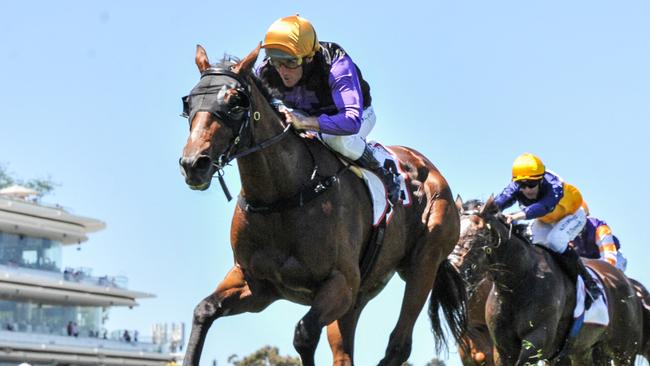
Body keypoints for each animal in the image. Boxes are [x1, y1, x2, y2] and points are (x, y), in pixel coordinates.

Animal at [176, 45, 466, 366]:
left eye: (235, 102)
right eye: (189, 101)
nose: (194, 164)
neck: (282, 197)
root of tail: (431, 170)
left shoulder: (339, 283)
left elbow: (303, 334)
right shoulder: (257, 285)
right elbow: (204, 310)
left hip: (423, 264)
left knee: (398, 345)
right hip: (361, 293)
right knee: (345, 350)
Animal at [454, 197, 640, 366]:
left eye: (477, 235)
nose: (454, 270)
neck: (518, 283)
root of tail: (623, 279)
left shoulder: (538, 340)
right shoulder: (503, 348)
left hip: (623, 350)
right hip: (585, 350)